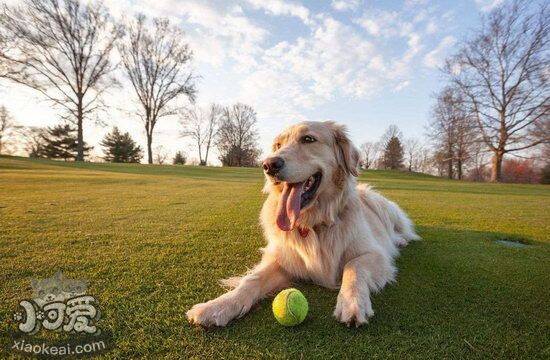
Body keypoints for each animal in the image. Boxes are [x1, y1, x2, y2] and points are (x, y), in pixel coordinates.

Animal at [188, 121, 420, 326]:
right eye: (278, 145)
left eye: (308, 139)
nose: (268, 165)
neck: (313, 223)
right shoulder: (283, 259)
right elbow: (251, 280)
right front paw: (218, 306)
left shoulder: (375, 254)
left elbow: (353, 267)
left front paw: (351, 302)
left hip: (381, 205)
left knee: (402, 231)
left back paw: (400, 240)